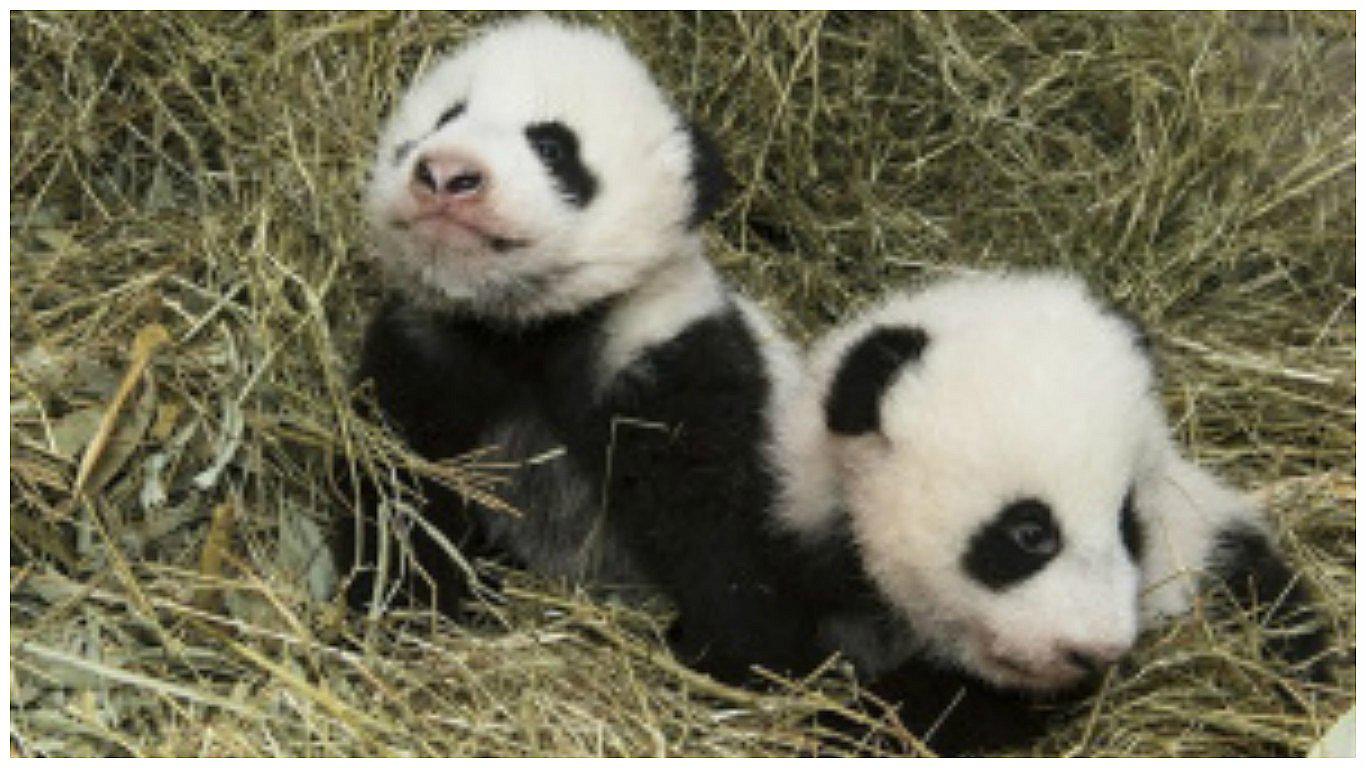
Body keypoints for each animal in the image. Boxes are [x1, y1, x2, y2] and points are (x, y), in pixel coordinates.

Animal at [332, 15, 851, 681]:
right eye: (445, 118)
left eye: (553, 146)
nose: (447, 173)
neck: (525, 330)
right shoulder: (427, 352)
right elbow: (398, 488)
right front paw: (409, 609)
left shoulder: (668, 356)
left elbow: (718, 522)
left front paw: (739, 656)